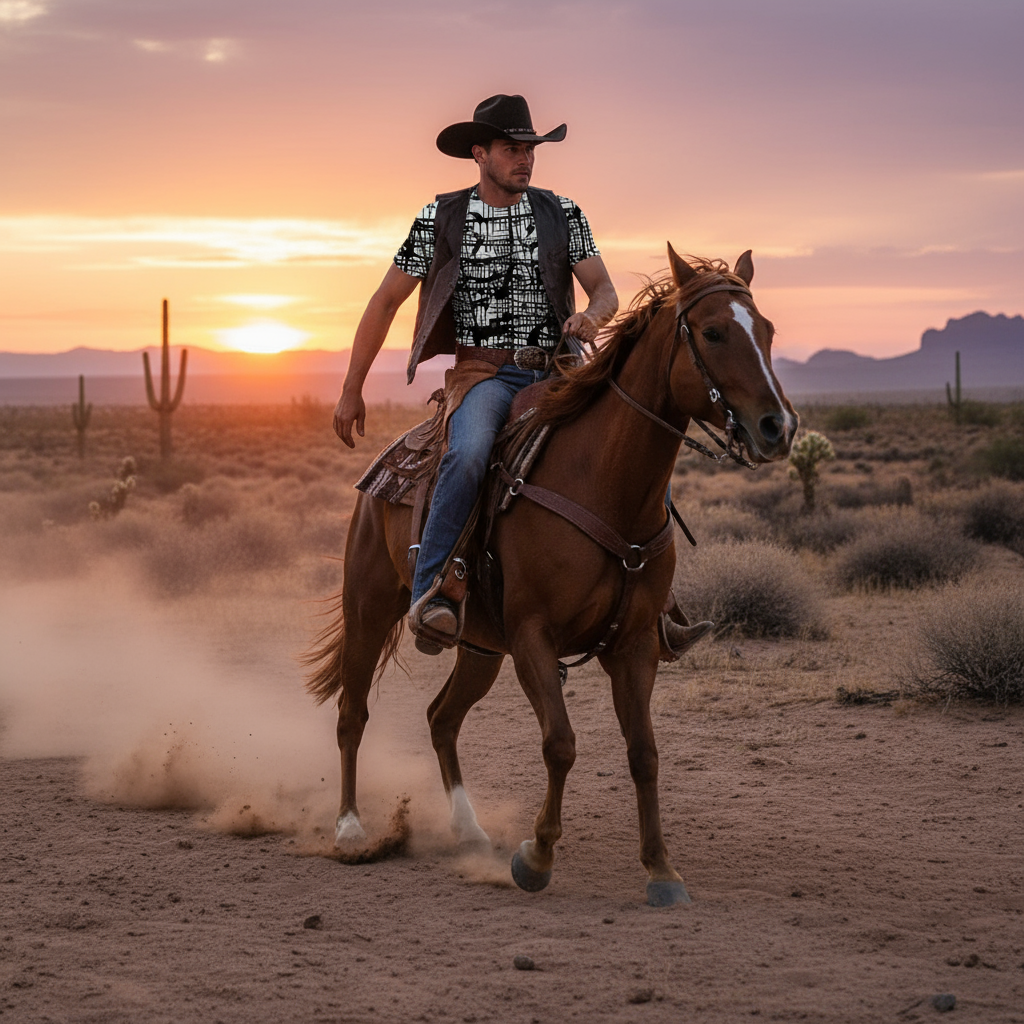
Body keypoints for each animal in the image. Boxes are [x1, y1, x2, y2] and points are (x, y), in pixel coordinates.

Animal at [306, 244, 798, 906]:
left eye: (766, 330)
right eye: (714, 332)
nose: (779, 428)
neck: (604, 482)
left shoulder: (634, 644)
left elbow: (644, 752)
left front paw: (661, 869)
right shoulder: (533, 638)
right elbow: (560, 743)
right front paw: (536, 857)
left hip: (480, 648)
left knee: (441, 717)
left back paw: (469, 829)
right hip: (370, 607)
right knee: (352, 713)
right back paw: (352, 829)